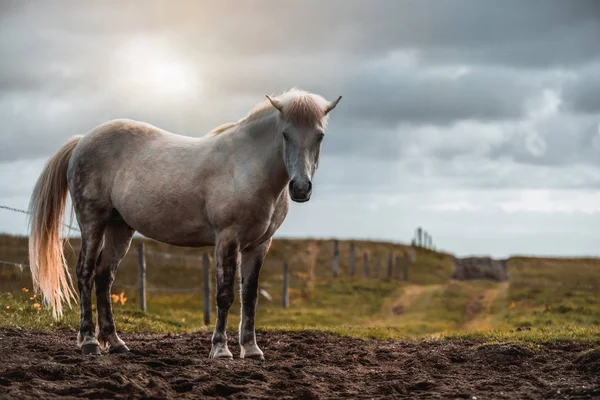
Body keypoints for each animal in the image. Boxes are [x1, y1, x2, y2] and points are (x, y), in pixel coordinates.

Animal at [27, 89, 342, 358]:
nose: (300, 188)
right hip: (93, 221)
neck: (248, 168)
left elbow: (249, 297)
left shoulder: (258, 246)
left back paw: (116, 343)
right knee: (85, 273)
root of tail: (82, 140)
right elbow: (225, 294)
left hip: (120, 228)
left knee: (104, 277)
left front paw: (251, 349)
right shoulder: (227, 240)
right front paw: (220, 350)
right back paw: (90, 342)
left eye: (320, 136)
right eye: (285, 134)